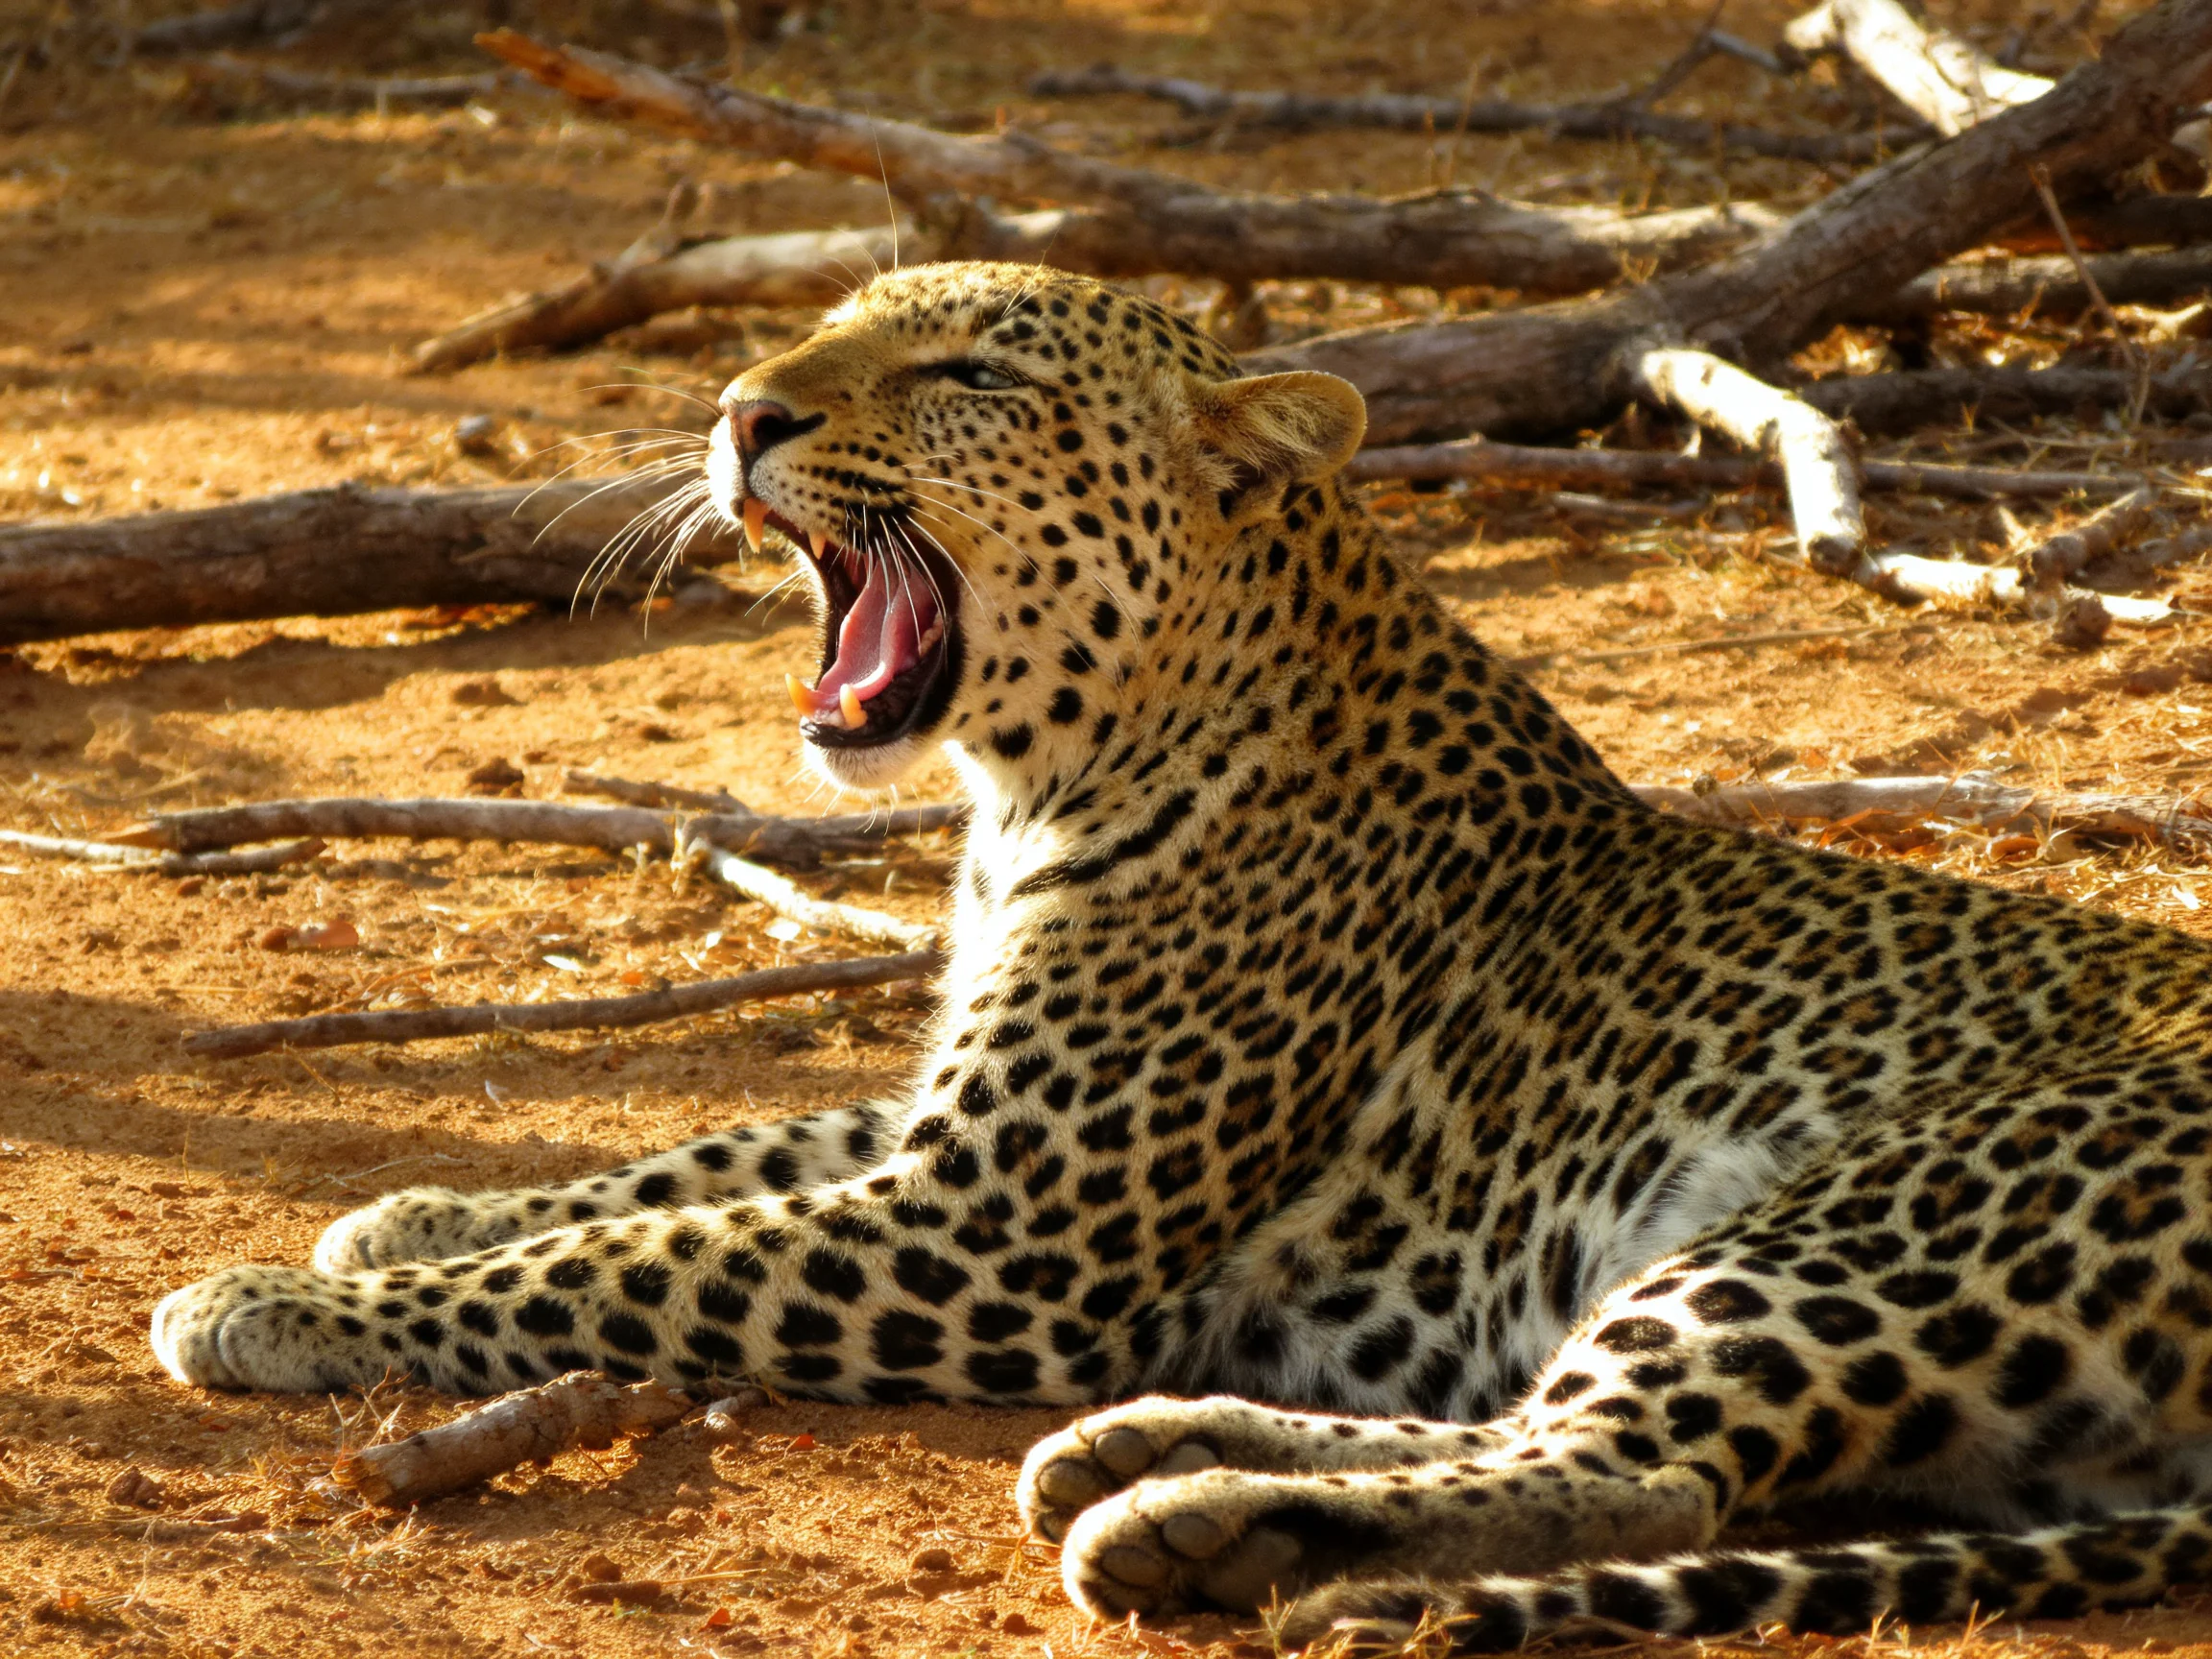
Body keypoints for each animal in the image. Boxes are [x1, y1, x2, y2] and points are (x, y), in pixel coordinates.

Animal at [153, 261, 2212, 1653]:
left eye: (967, 371)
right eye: (826, 327)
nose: (741, 411)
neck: (1034, 785)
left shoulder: (997, 1224)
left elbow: (633, 1260)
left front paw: (275, 1298)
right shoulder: (942, 1130)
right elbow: (671, 1166)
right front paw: (400, 1213)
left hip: (1868, 1208)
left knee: (1637, 1466)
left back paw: (1193, 1519)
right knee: (1574, 1426)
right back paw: (1151, 1454)